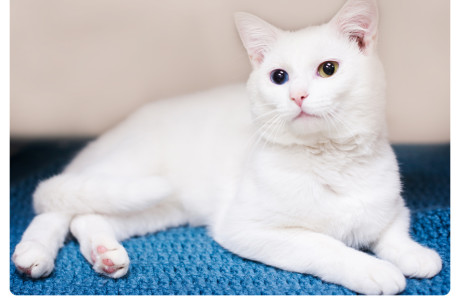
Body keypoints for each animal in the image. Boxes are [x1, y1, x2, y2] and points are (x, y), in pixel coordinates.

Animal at [12, 0, 440, 296]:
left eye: (328, 69)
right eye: (279, 77)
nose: (298, 95)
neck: (330, 161)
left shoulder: (392, 208)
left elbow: (393, 231)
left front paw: (415, 254)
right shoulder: (247, 228)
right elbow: (324, 245)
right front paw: (372, 269)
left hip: (157, 208)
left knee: (85, 217)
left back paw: (105, 254)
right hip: (126, 173)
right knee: (54, 208)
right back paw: (33, 255)